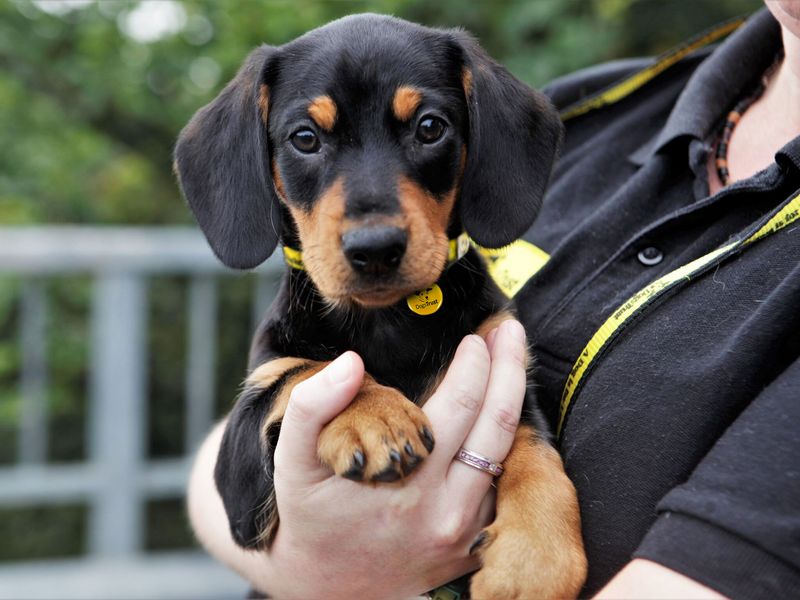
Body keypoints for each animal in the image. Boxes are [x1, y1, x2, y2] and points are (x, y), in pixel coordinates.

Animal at [175, 14, 588, 600]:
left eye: (430, 127)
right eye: (305, 138)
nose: (375, 248)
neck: (390, 320)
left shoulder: (508, 362)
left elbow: (534, 447)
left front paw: (534, 556)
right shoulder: (238, 484)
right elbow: (306, 369)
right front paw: (375, 415)